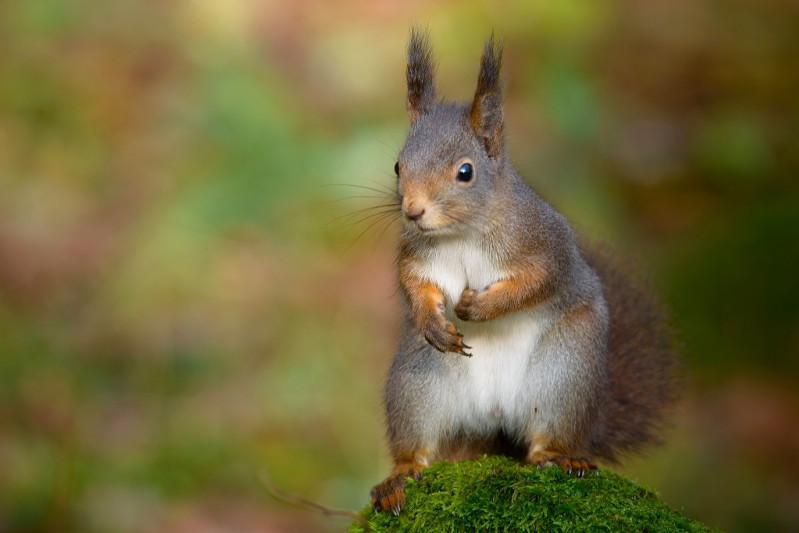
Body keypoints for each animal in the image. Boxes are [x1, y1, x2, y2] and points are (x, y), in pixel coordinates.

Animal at [372, 30, 680, 516]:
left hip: (565, 373)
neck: (463, 233)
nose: (413, 211)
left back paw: (559, 457)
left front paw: (479, 307)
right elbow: (416, 284)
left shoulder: (545, 244)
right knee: (417, 443)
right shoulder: (417, 256)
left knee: (548, 435)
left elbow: (538, 282)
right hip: (418, 383)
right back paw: (400, 476)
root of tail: (495, 420)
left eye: (465, 172)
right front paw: (431, 320)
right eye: (399, 165)